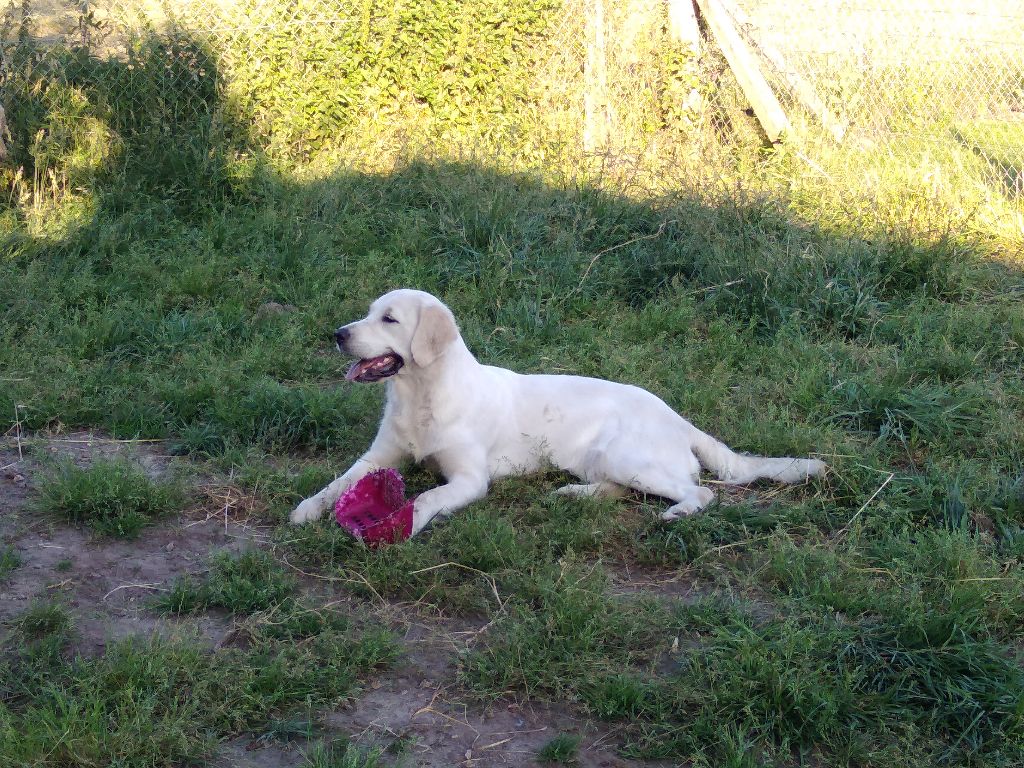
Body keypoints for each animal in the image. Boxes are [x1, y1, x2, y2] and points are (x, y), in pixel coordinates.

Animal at [288, 290, 823, 536]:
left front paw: (404, 524)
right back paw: (573, 495)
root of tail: (676, 416)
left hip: (624, 454)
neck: (421, 395)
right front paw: (307, 509)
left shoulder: (469, 479)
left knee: (699, 491)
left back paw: (677, 512)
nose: (338, 333)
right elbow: (336, 484)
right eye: (367, 313)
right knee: (618, 489)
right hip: (602, 460)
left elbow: (425, 498)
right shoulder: (378, 458)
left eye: (389, 319)